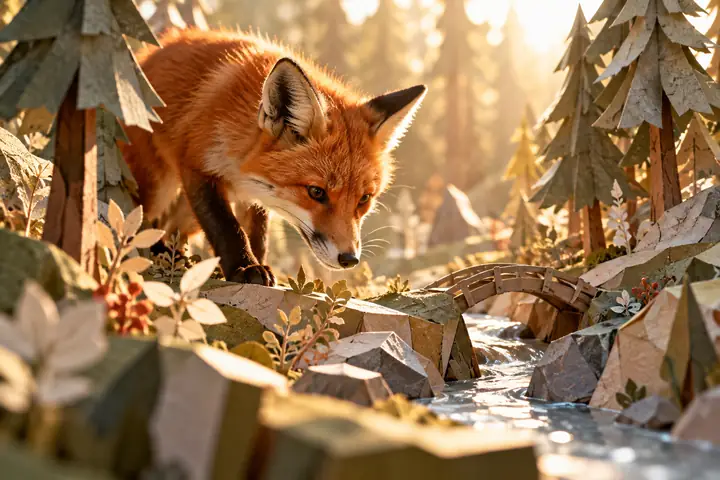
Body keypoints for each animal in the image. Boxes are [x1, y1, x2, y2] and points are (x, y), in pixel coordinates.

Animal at [121, 29, 426, 286]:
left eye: (364, 199)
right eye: (316, 192)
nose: (349, 259)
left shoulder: (256, 193)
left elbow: (258, 233)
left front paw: (254, 262)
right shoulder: (195, 165)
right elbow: (226, 226)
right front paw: (245, 267)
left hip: (186, 214)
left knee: (173, 229)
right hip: (159, 185)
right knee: (144, 218)